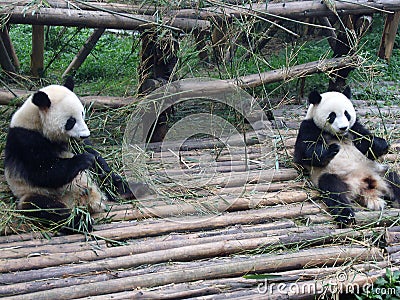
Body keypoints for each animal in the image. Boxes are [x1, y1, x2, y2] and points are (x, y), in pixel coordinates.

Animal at [294, 86, 400, 225]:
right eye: (332, 116)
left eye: (347, 114)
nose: (343, 127)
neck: (338, 136)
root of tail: (362, 187)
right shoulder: (308, 127)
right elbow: (304, 153)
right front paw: (332, 149)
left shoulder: (355, 129)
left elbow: (367, 143)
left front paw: (382, 144)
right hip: (333, 176)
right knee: (334, 191)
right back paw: (346, 216)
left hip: (379, 172)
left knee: (393, 179)